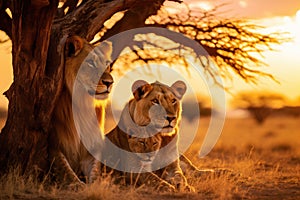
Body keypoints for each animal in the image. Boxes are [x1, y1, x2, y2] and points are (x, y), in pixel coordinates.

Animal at [49, 36, 113, 189]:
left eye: (106, 64)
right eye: (90, 63)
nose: (110, 82)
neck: (83, 105)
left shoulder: (91, 148)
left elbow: (95, 172)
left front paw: (96, 186)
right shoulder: (53, 144)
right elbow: (65, 170)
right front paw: (79, 186)